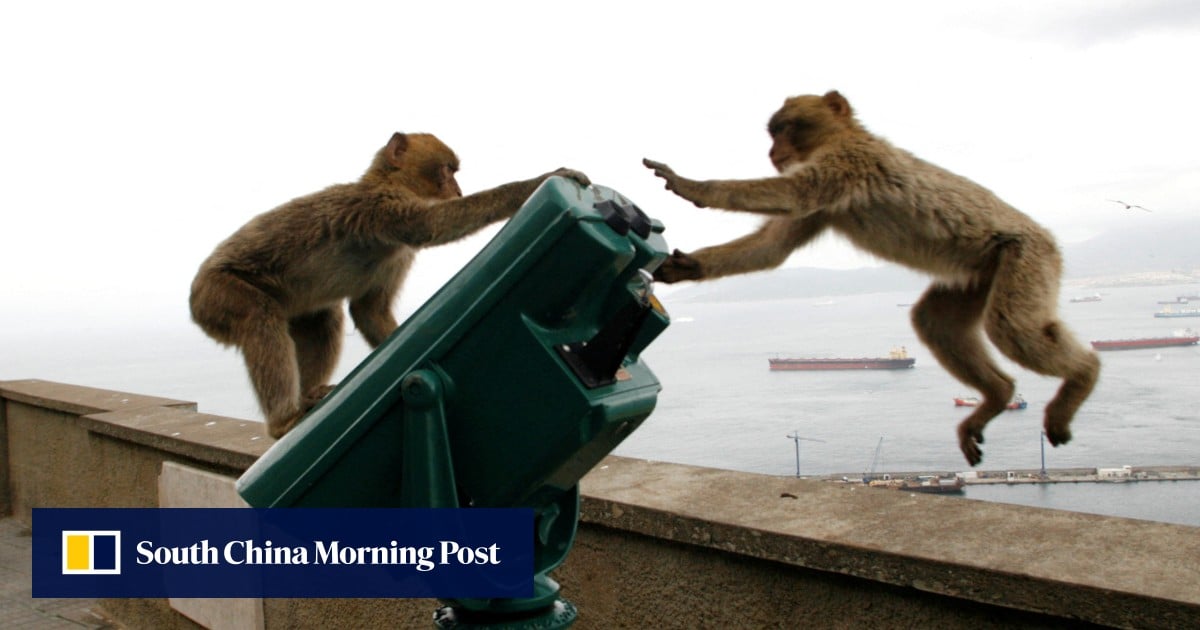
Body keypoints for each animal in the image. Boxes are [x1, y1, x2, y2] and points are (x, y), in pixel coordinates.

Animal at [191, 132, 589, 438]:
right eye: (447, 170)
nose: (459, 190)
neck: (389, 182)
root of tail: (194, 299)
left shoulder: (397, 253)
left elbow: (369, 310)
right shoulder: (379, 207)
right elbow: (431, 226)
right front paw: (533, 183)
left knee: (324, 320)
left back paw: (310, 395)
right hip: (217, 293)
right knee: (259, 317)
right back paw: (283, 421)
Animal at [644, 90, 1100, 466]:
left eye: (787, 127)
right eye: (774, 131)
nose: (774, 150)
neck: (838, 139)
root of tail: (1049, 241)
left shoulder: (848, 160)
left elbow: (797, 194)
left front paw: (691, 185)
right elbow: (773, 248)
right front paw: (686, 266)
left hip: (1025, 256)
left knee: (1010, 326)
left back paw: (1085, 373)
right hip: (978, 274)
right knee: (933, 320)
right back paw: (999, 395)